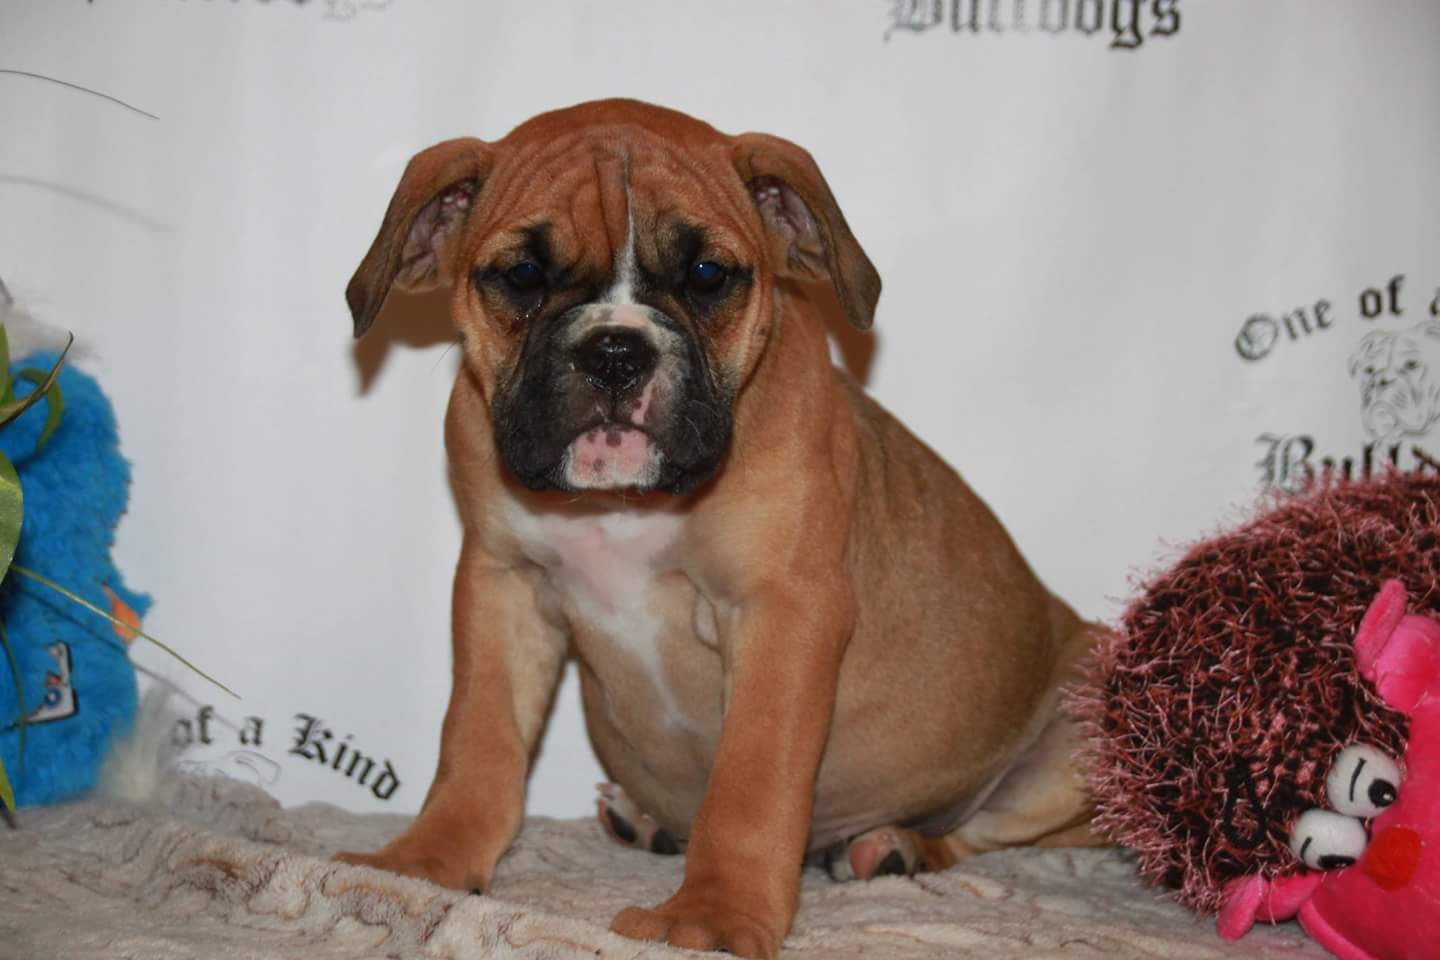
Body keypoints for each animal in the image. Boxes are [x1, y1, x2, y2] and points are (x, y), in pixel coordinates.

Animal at [336, 99, 1104, 959]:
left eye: (708, 276)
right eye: (522, 275)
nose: (615, 349)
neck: (624, 506)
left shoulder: (782, 610)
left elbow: (751, 782)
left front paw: (714, 913)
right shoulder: (502, 587)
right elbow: (477, 742)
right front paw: (427, 862)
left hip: (1085, 717)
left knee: (979, 835)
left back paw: (893, 847)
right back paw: (647, 821)